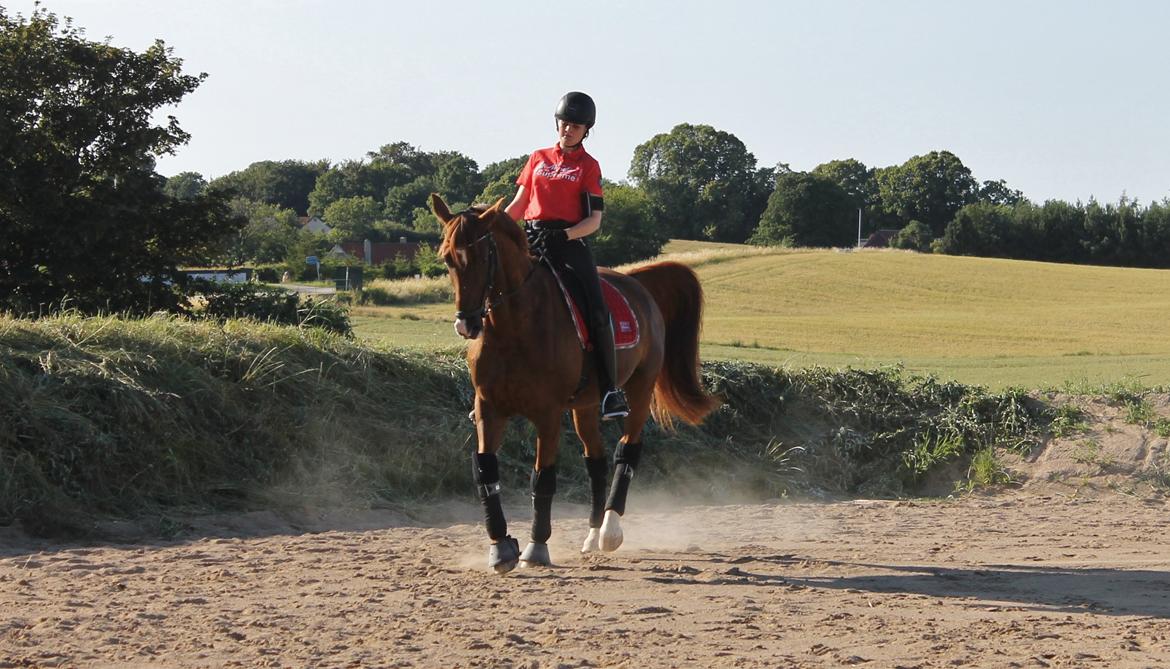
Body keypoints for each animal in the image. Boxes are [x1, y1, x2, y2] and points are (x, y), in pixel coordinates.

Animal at [435, 192, 716, 575]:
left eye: (482, 257)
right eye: (447, 258)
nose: (467, 324)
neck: (513, 328)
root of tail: (636, 283)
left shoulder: (548, 414)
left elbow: (543, 477)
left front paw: (536, 547)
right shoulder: (488, 409)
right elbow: (485, 471)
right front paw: (501, 547)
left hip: (639, 391)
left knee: (626, 452)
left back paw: (610, 531)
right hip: (585, 406)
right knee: (595, 461)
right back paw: (593, 534)